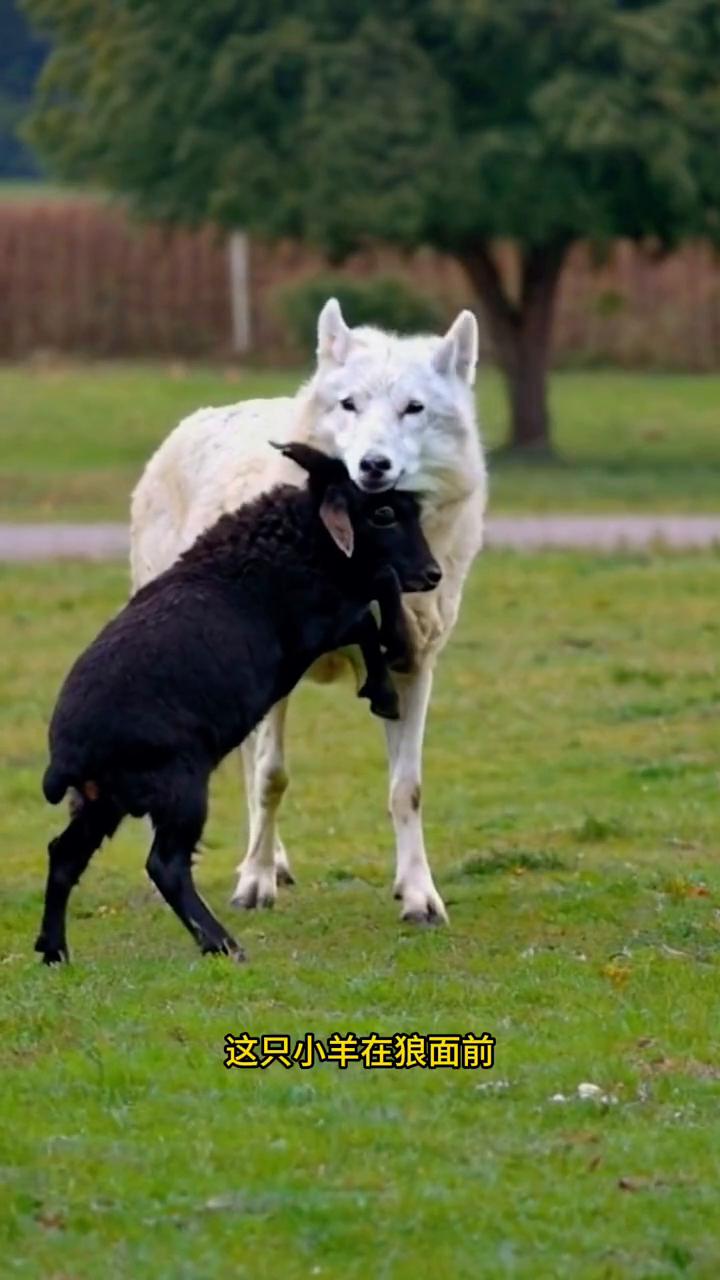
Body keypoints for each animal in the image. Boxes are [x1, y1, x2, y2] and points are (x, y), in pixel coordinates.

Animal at [37, 445, 438, 962]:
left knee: (64, 856)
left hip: (102, 800)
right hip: (178, 787)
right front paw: (385, 688)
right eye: (383, 514)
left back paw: (53, 951)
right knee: (165, 865)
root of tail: (67, 757)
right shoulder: (318, 624)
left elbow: (376, 596)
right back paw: (222, 943)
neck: (297, 539)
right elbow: (372, 609)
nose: (433, 575)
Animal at [131, 299, 484, 921]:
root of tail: (199, 417)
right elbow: (271, 777)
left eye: (413, 409)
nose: (373, 464)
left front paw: (419, 895)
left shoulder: (412, 668)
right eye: (350, 405)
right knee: (243, 765)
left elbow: (407, 789)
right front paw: (254, 886)